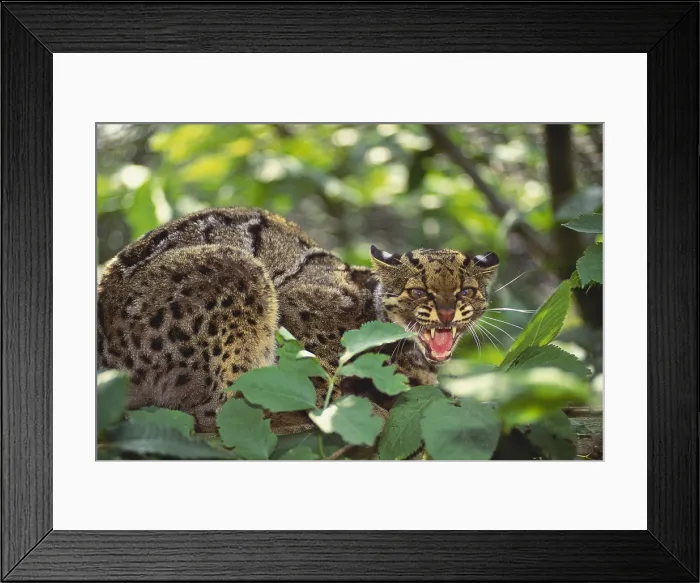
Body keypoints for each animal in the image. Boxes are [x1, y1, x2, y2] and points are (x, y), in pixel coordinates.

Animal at [97, 206, 499, 434]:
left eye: (465, 292)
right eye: (418, 293)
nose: (446, 312)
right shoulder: (295, 304)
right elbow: (320, 374)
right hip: (236, 268)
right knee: (215, 410)